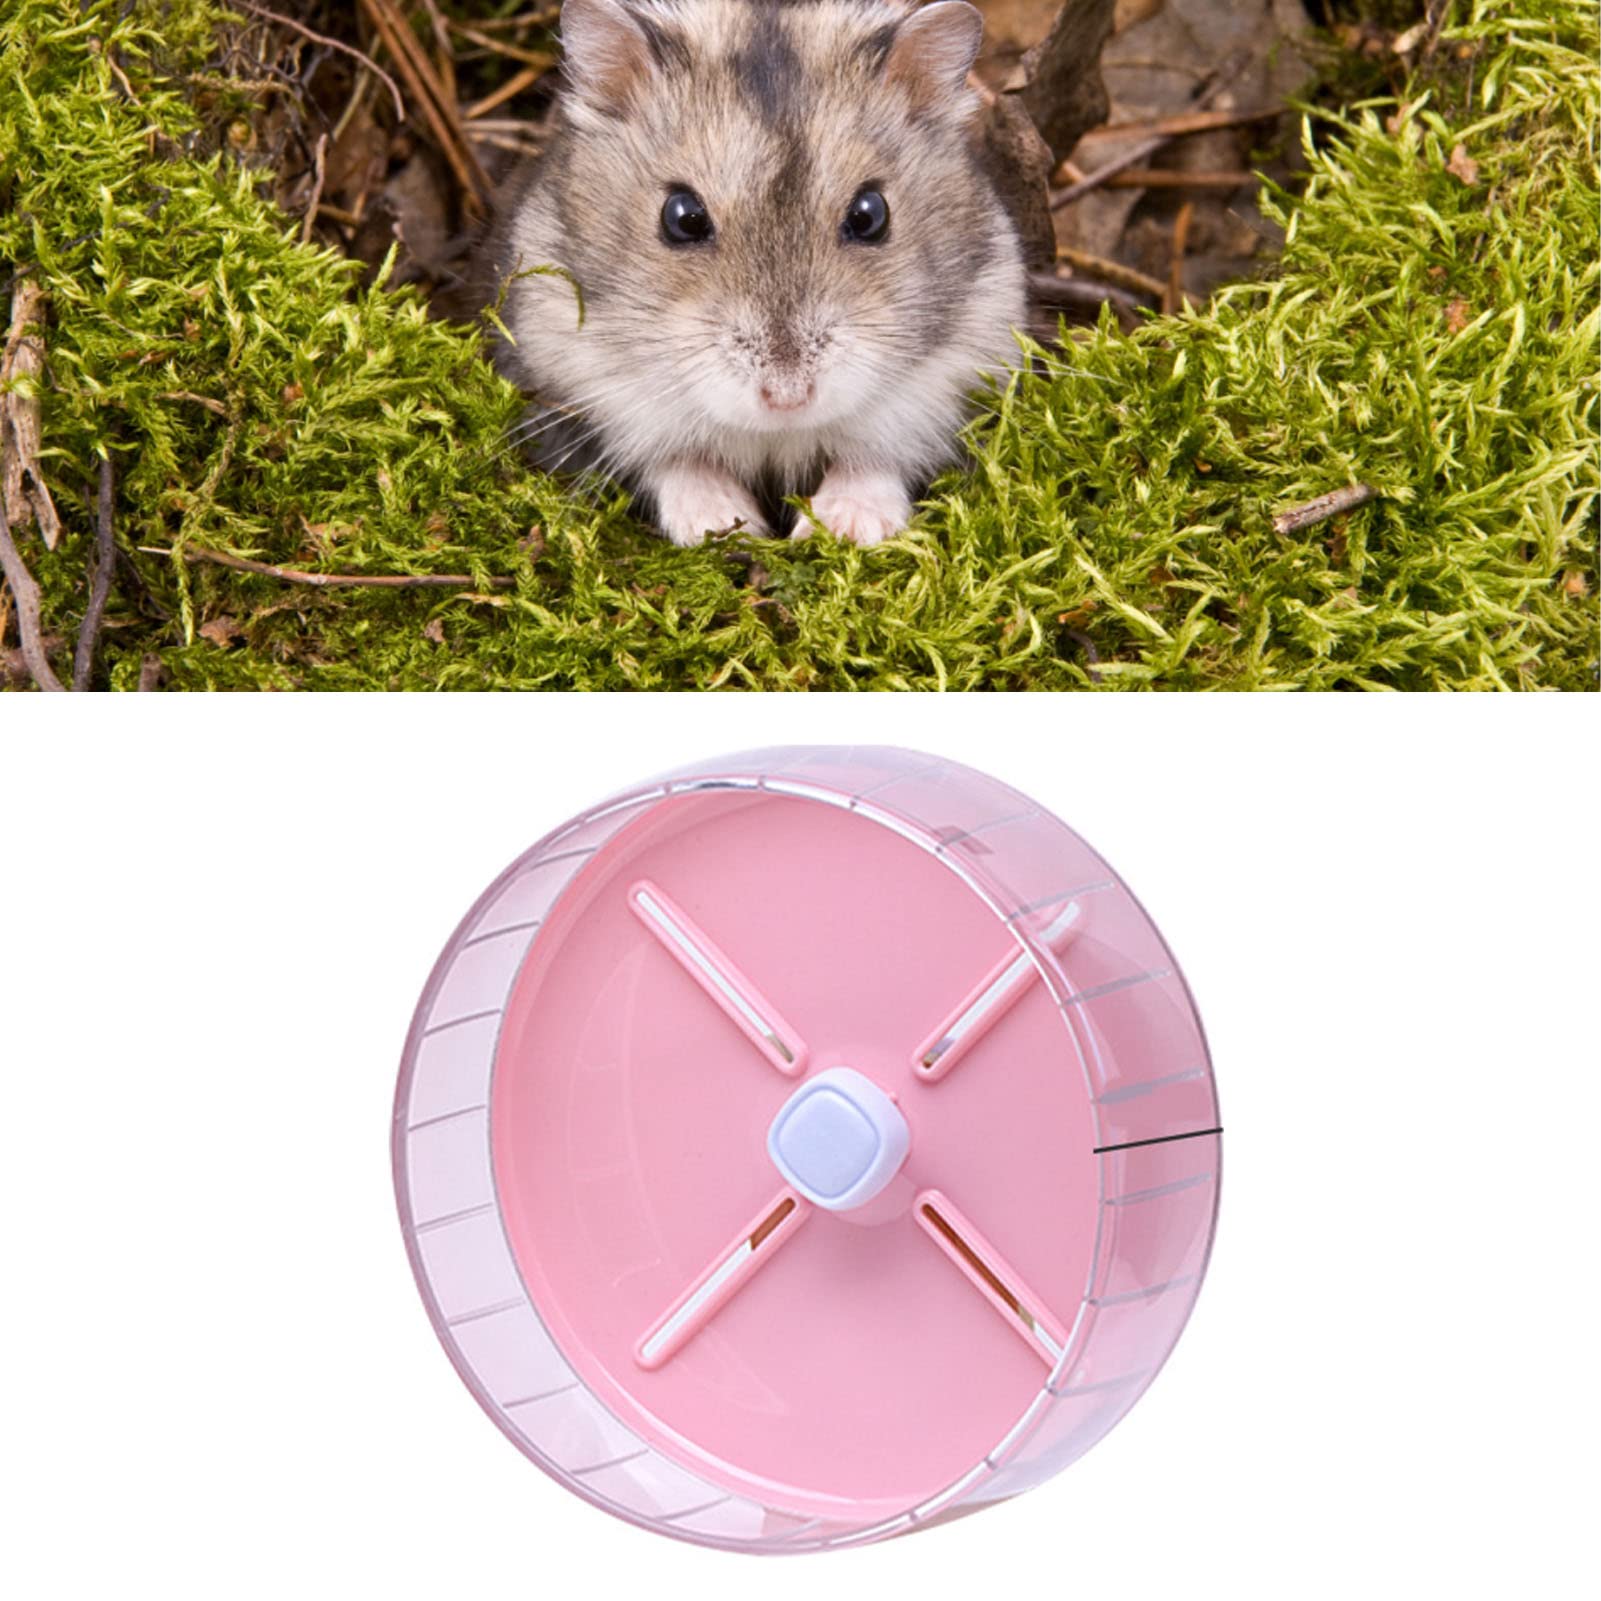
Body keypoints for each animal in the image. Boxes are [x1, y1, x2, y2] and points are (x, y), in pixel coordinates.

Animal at [489, 0, 1026, 546]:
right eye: (681, 217)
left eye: (870, 214)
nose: (787, 398)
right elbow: (677, 461)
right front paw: (727, 527)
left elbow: (874, 459)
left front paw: (844, 529)